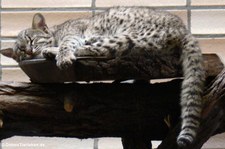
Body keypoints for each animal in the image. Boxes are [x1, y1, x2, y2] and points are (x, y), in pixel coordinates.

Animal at [1, 6, 206, 147]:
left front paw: (62, 55)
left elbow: (67, 44)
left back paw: (55, 51)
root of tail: (183, 30)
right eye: (20, 52)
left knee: (100, 48)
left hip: (128, 35)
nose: (29, 51)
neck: (56, 32)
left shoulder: (72, 35)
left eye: (31, 40)